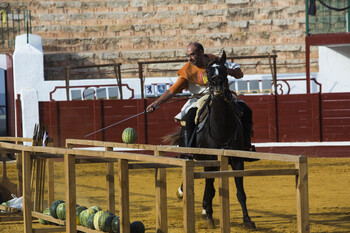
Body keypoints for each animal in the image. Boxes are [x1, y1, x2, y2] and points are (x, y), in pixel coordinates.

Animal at [172, 51, 254, 229]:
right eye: (209, 72)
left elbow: (240, 192)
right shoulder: (210, 161)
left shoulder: (237, 162)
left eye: (224, 70)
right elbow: (210, 189)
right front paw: (209, 217)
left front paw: (248, 220)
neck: (221, 128)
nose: (217, 85)